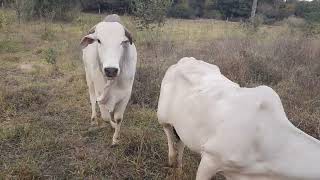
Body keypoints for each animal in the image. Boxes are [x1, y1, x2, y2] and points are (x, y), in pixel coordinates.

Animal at [80, 14, 136, 146]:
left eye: (122, 42)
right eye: (99, 40)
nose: (111, 70)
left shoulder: (126, 95)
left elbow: (118, 118)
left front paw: (115, 139)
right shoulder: (100, 94)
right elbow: (105, 117)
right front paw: (112, 125)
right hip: (89, 79)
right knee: (92, 100)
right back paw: (94, 120)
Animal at [157, 57, 320, 180]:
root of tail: (184, 60)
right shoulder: (210, 159)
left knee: (181, 140)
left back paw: (179, 167)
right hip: (162, 115)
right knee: (168, 132)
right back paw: (172, 160)